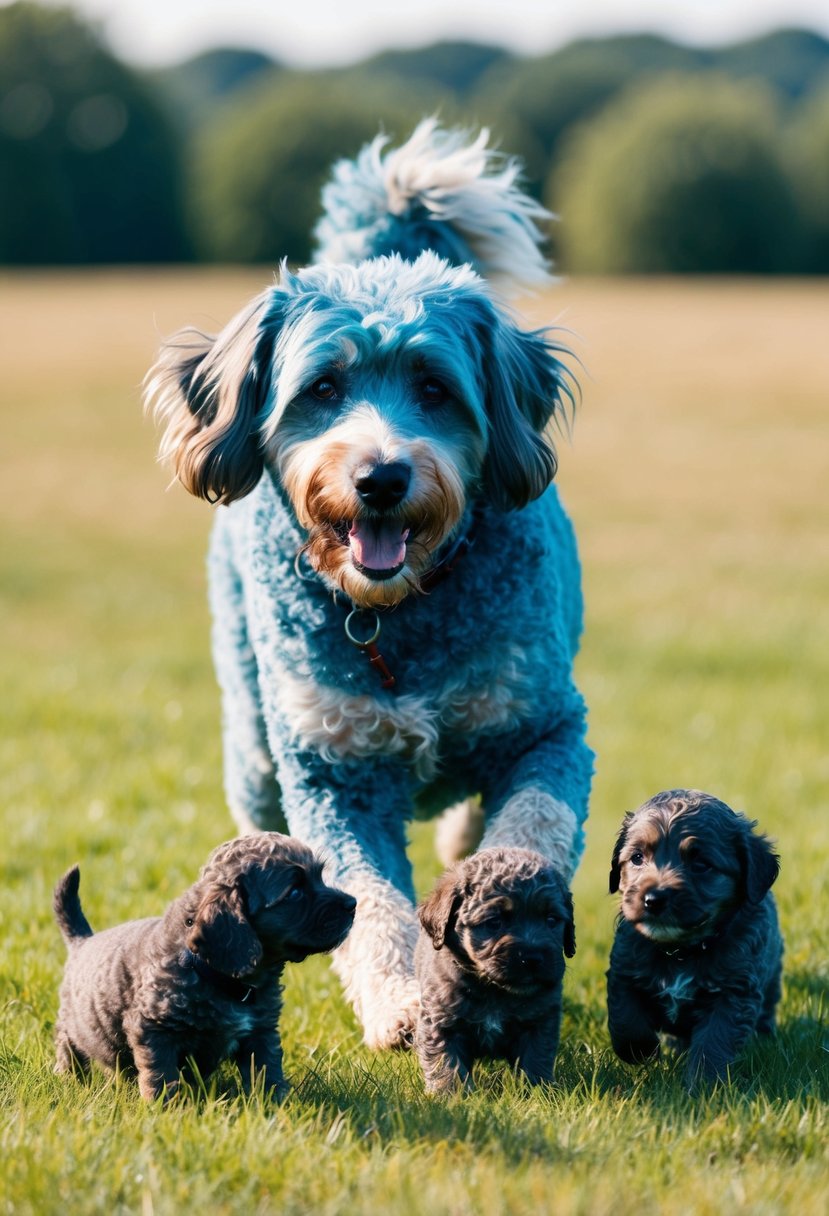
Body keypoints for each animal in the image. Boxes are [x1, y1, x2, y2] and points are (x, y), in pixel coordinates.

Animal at [50, 836, 354, 1104]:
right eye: (295, 892)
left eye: (320, 878)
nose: (353, 903)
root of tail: (82, 941)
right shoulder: (155, 1030)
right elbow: (161, 1074)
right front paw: (162, 1107)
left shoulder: (261, 1031)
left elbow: (266, 1070)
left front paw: (274, 1104)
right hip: (73, 1028)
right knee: (69, 1048)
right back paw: (71, 1078)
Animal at [145, 125, 590, 1055]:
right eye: (321, 387)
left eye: (434, 387)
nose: (381, 476)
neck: (398, 617)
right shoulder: (332, 769)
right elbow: (372, 902)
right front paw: (398, 1000)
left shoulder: (546, 725)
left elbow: (530, 827)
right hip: (254, 743)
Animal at [413, 846, 573, 1094]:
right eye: (495, 922)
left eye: (551, 920)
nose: (532, 958)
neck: (494, 990)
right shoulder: (441, 1022)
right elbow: (446, 1063)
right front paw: (450, 1095)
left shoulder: (539, 1021)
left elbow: (536, 1059)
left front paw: (539, 1092)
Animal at [602, 792, 777, 1089]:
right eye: (637, 857)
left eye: (701, 865)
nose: (653, 899)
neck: (681, 950)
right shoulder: (624, 970)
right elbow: (625, 1020)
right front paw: (643, 1051)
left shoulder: (733, 992)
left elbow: (713, 1041)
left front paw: (704, 1085)